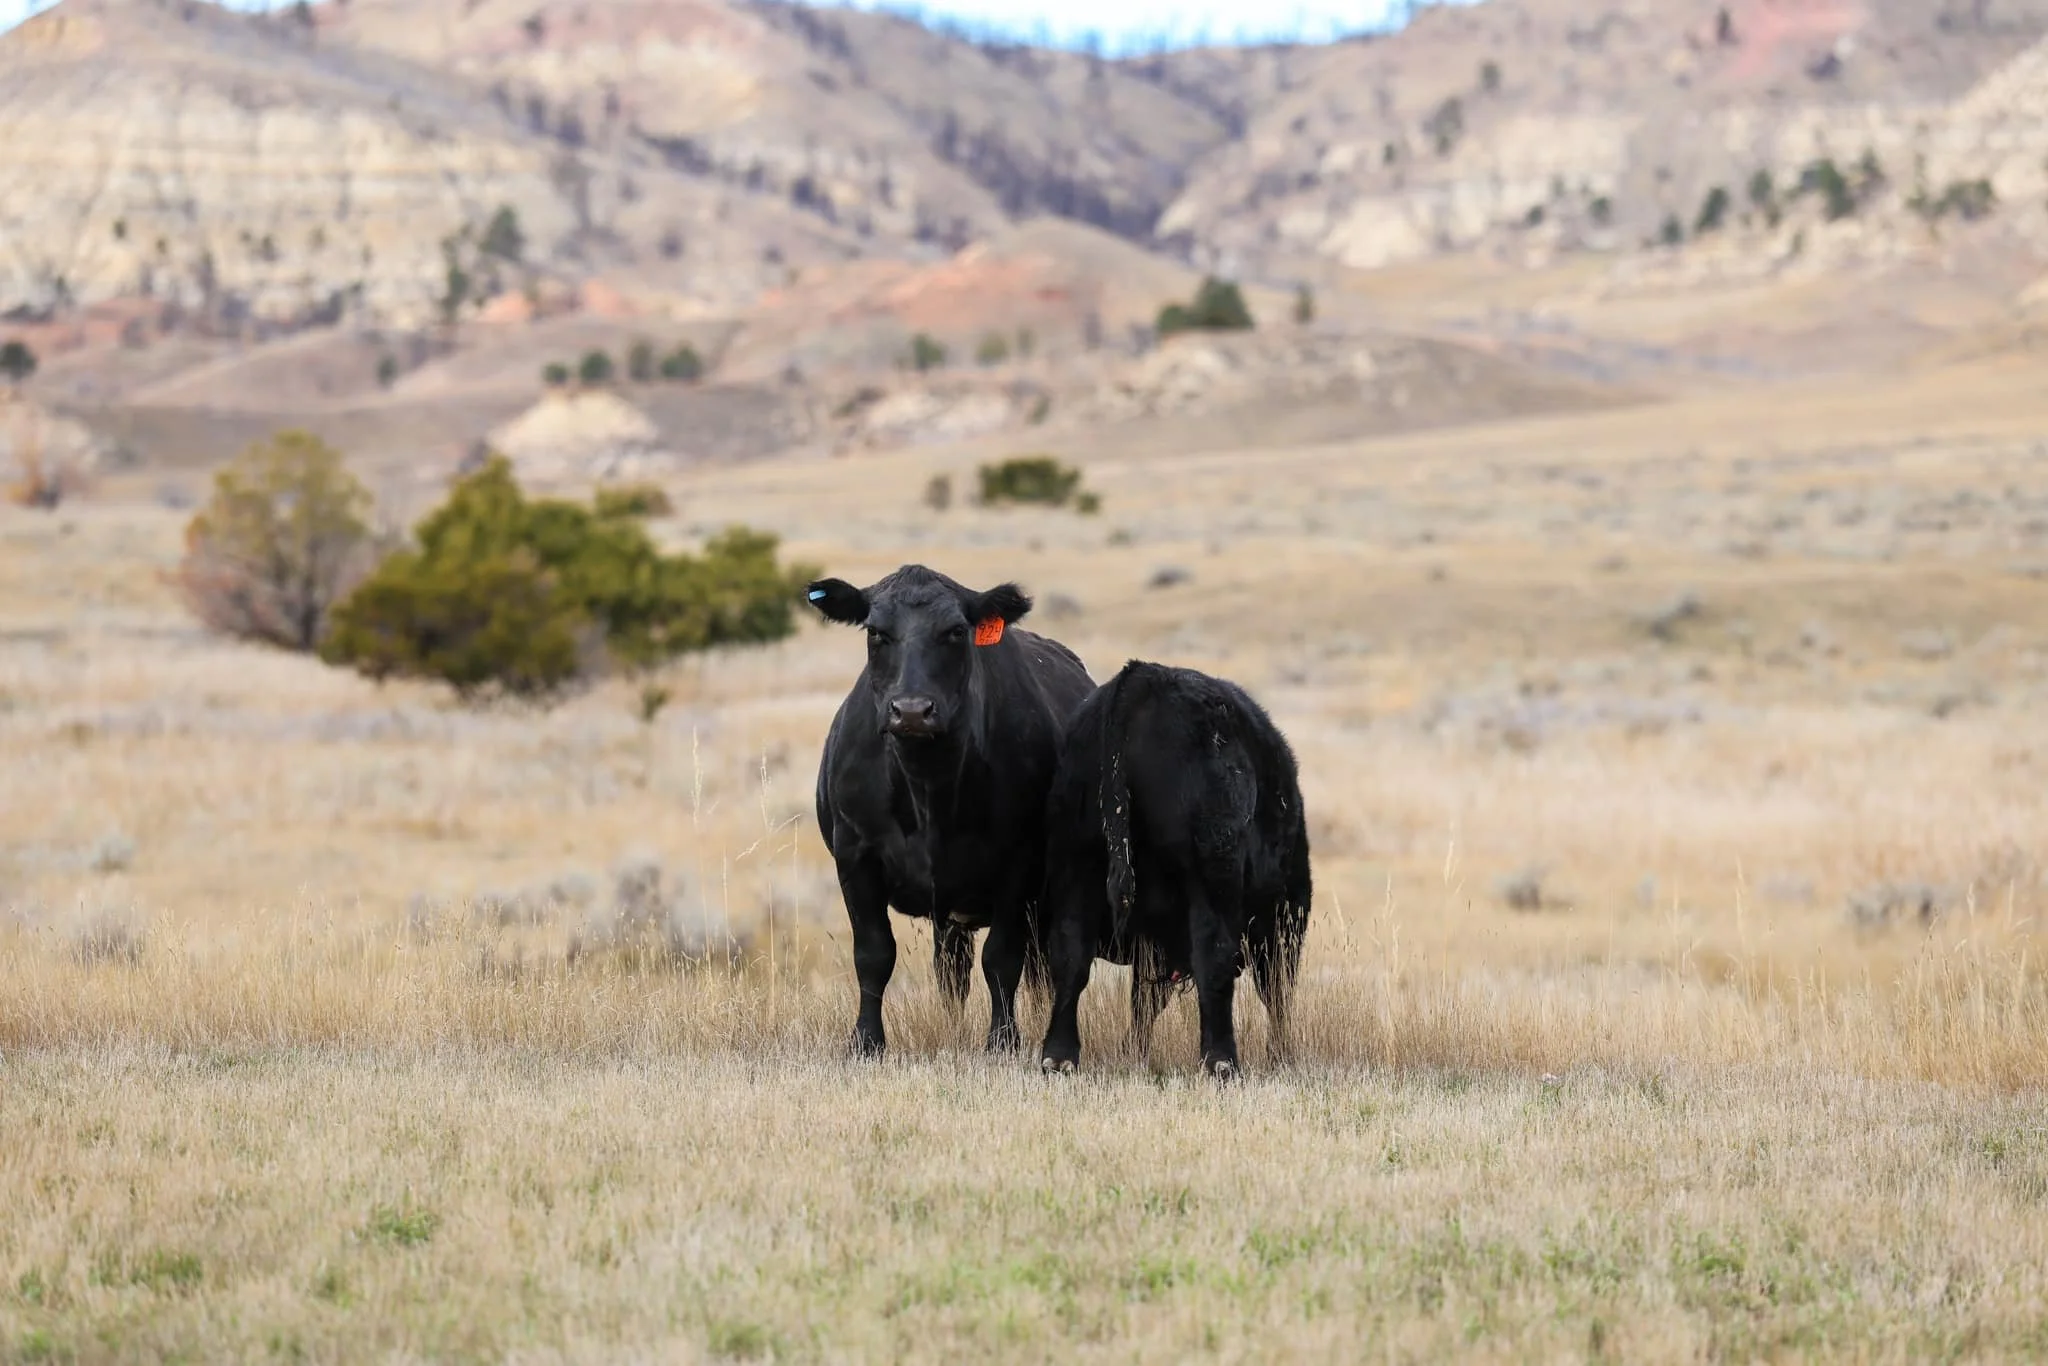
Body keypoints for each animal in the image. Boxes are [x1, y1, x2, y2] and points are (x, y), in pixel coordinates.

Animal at [807, 564, 1094, 1056]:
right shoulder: (854, 855)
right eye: (876, 632)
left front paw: (1003, 1040)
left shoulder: (1018, 864)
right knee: (952, 972)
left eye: (956, 631)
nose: (912, 711)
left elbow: (1002, 959)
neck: (929, 791)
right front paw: (866, 1041)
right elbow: (873, 953)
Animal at [1036, 660, 1312, 1079]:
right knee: (1217, 958)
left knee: (1071, 954)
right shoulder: (1282, 920)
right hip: (1213, 875)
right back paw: (1222, 1062)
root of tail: (1142, 676)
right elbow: (1276, 990)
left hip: (1076, 863)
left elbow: (1143, 997)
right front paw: (1280, 1055)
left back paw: (1059, 1056)